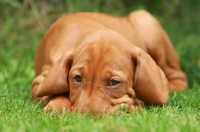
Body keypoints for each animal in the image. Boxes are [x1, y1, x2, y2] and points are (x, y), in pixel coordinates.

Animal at [31, 10, 188, 113]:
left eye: (114, 82)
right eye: (77, 78)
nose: (85, 116)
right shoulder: (38, 83)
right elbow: (56, 92)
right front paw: (57, 106)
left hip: (147, 23)